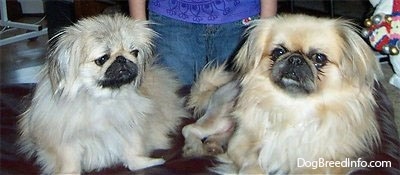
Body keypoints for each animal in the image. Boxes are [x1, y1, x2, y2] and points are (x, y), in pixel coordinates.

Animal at [18, 14, 187, 174]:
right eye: (102, 59)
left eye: (134, 52)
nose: (122, 59)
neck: (103, 99)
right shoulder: (66, 140)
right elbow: (70, 162)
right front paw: (69, 172)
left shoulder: (130, 128)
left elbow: (133, 152)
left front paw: (146, 163)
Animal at [183, 14, 382, 174]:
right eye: (278, 52)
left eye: (319, 58)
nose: (295, 59)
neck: (293, 108)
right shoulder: (240, 145)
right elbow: (252, 163)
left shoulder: (329, 162)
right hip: (221, 118)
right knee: (190, 129)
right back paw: (196, 147)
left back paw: (213, 145)